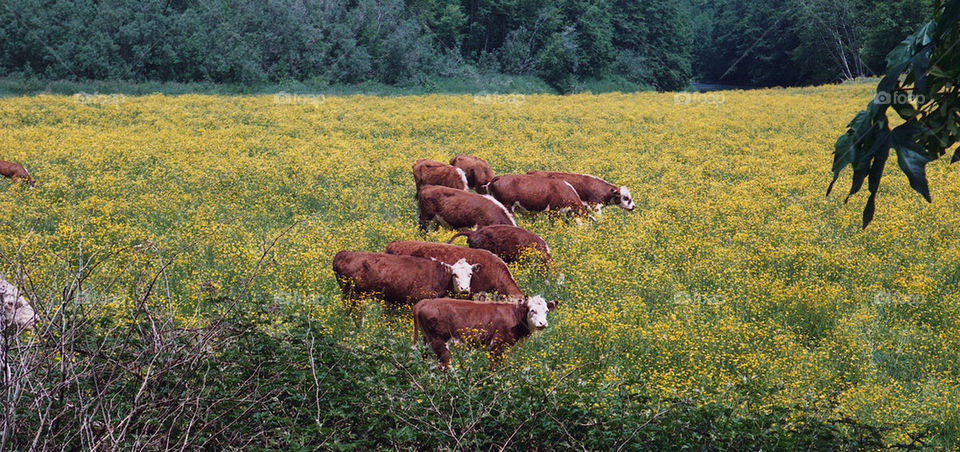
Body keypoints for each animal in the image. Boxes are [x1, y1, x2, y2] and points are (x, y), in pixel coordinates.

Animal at [410, 296, 560, 368]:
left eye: (547, 311)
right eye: (532, 310)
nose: (542, 323)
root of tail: (426, 301)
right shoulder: (497, 345)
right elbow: (493, 368)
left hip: (427, 340)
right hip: (439, 341)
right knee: (445, 365)